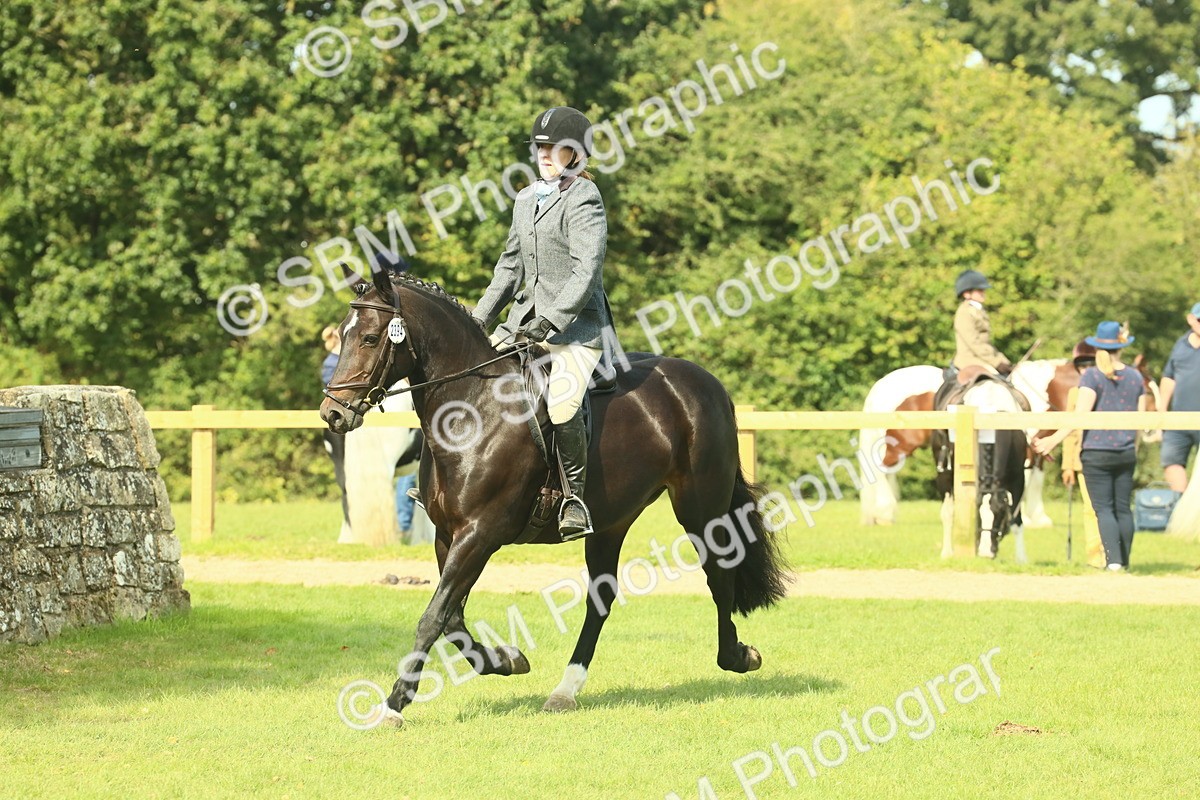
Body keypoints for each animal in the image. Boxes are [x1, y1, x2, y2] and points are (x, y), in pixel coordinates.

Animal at [319, 268, 790, 726]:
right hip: (612, 522)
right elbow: (451, 618)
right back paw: (566, 690)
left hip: (700, 508)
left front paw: (394, 704)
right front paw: (508, 660)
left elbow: (432, 618)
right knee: (601, 598)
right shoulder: (446, 534)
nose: (333, 414)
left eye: (369, 338)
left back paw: (738, 656)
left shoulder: (479, 533)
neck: (472, 409)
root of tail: (707, 383)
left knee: (719, 575)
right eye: (343, 333)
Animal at [932, 377, 1028, 561]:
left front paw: (1021, 559)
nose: (985, 552)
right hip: (944, 474)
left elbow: (1017, 519)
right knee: (947, 512)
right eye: (977, 513)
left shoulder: (1019, 477)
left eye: (1000, 512)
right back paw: (947, 552)